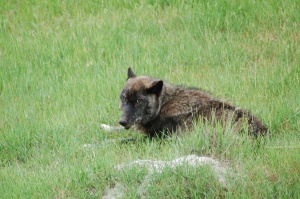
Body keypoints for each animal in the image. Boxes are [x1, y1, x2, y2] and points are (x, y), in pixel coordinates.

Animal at [117, 67, 268, 138]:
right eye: (124, 99)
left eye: (138, 101)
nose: (122, 122)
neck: (163, 104)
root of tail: (263, 131)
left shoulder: (156, 137)